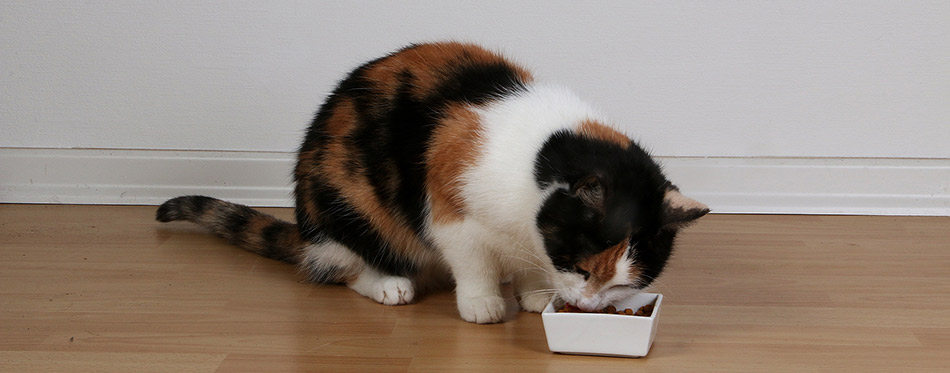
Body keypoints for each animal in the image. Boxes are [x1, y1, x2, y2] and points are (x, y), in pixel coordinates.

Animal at [156, 40, 712, 322]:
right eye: (581, 267)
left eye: (624, 283)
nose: (591, 305)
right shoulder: (451, 211)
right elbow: (472, 261)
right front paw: (484, 302)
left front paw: (534, 293)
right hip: (348, 205)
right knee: (340, 266)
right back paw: (389, 284)